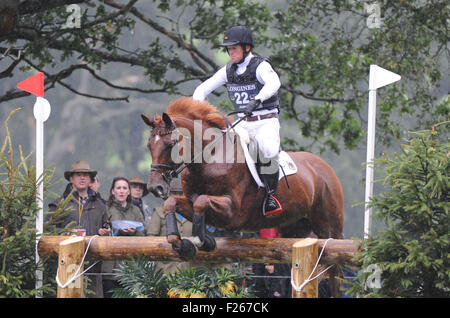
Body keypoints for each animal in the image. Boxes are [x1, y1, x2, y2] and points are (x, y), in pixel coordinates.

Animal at [142, 96, 344, 296]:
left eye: (170, 145)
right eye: (149, 146)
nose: (155, 187)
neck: (210, 159)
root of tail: (324, 167)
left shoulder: (233, 213)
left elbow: (201, 201)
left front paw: (201, 240)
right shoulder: (194, 203)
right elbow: (171, 202)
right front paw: (181, 243)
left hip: (329, 228)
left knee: (335, 273)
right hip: (294, 228)